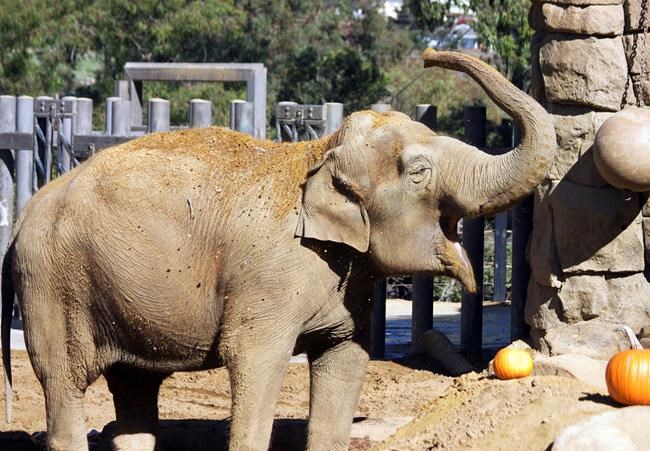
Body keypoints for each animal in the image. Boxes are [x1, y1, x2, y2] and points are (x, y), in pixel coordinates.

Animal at [1, 50, 554, 451]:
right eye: (418, 172)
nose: (429, 54)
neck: (319, 151)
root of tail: (25, 214)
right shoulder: (268, 281)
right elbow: (253, 362)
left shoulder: (348, 284)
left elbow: (346, 361)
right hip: (53, 286)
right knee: (65, 385)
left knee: (136, 392)